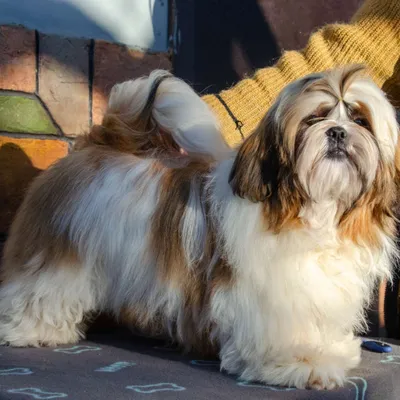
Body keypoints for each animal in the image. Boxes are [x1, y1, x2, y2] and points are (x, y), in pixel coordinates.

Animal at [0, 66, 400, 390]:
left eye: (361, 121)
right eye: (312, 119)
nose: (337, 132)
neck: (313, 208)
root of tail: (95, 144)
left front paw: (329, 348)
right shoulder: (267, 291)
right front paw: (300, 362)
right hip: (57, 253)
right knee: (40, 291)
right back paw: (31, 329)